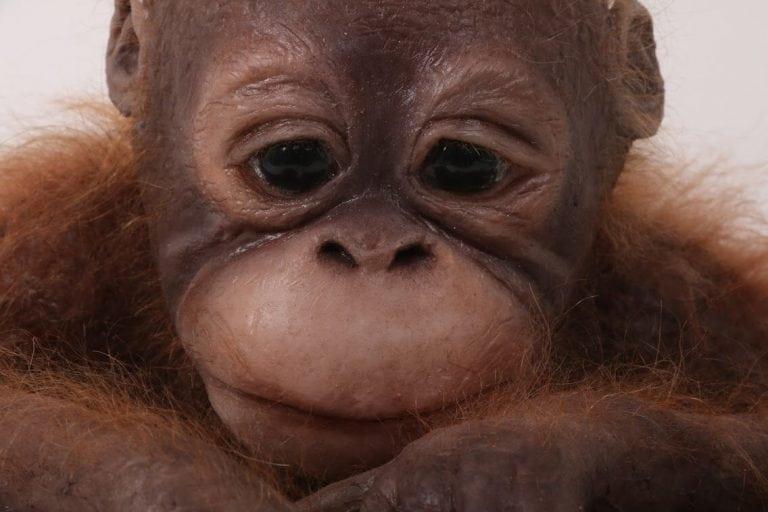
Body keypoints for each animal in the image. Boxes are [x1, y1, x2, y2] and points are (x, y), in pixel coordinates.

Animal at [1, 0, 768, 510]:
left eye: (464, 165)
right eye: (290, 161)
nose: (371, 252)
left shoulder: (676, 291)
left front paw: (488, 468)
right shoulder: (52, 242)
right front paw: (180, 486)